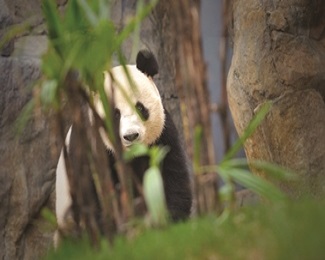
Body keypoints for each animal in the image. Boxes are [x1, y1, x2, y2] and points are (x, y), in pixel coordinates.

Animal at [55, 48, 192, 238]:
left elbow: (171, 175)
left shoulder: (163, 135)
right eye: (115, 114)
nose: (131, 136)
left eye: (140, 108)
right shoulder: (90, 142)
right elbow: (93, 189)